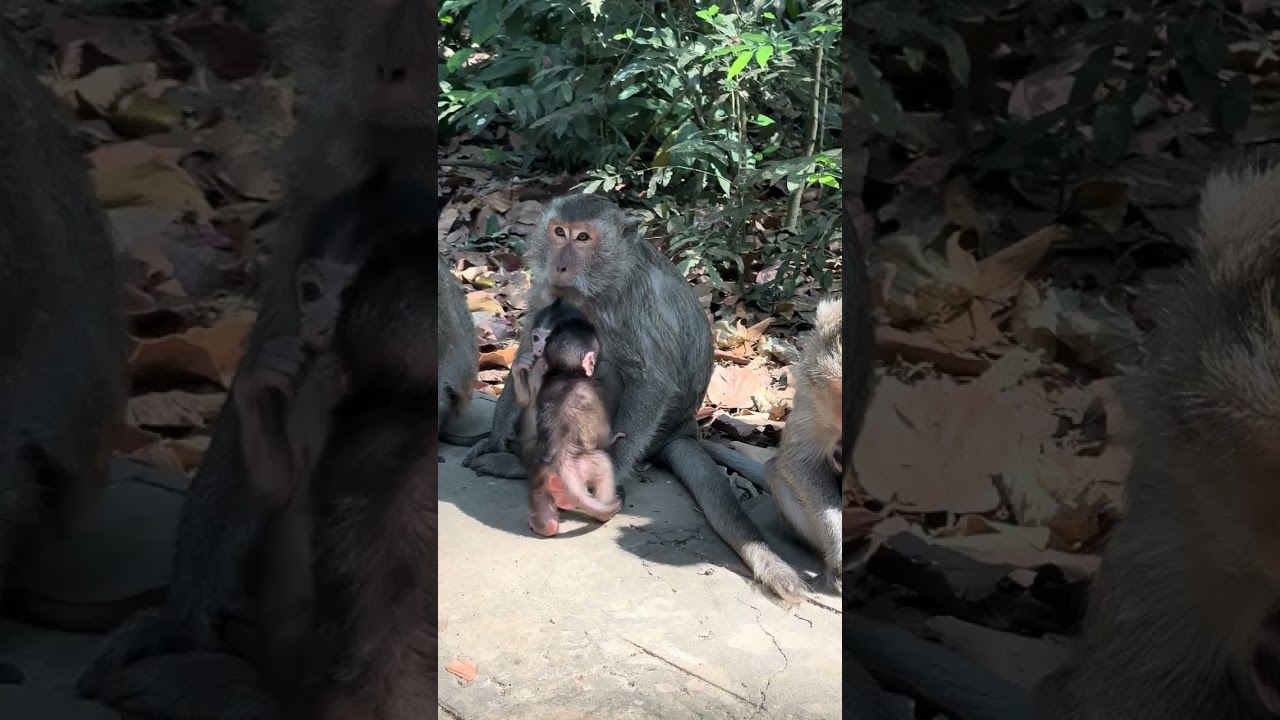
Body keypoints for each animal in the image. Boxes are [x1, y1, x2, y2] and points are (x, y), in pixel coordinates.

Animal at [525, 317, 624, 537]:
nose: (593, 366)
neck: (566, 373)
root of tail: (561, 462)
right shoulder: (593, 392)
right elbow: (603, 434)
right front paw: (614, 437)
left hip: (540, 477)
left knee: (545, 512)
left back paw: (542, 525)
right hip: (585, 467)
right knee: (603, 466)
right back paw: (606, 511)